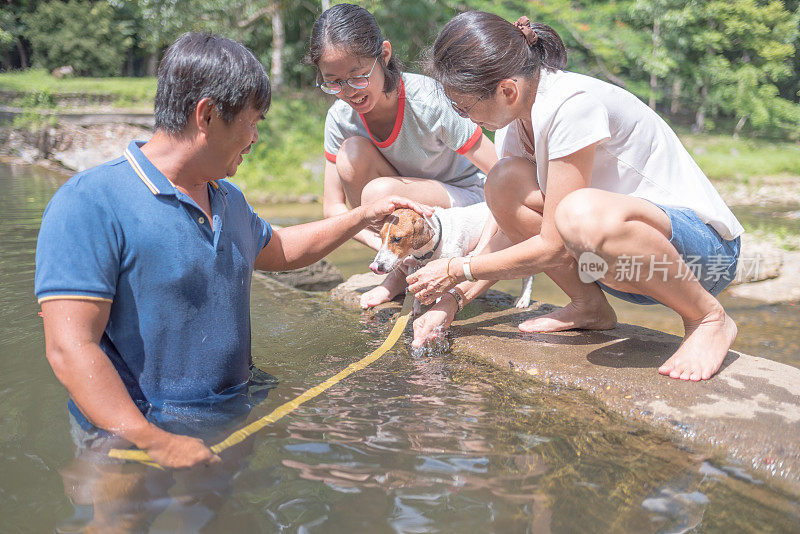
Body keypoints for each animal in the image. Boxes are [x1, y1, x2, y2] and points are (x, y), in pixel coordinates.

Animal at [368, 203, 532, 312]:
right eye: (381, 236)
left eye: (397, 239)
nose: (376, 266)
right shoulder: (414, 268)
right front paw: (415, 309)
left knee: (528, 275)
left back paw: (524, 298)